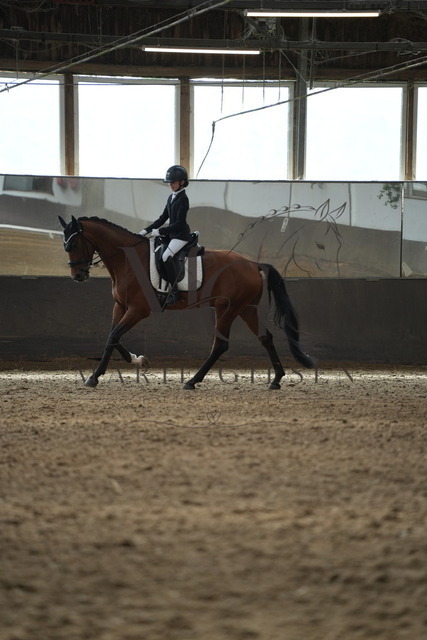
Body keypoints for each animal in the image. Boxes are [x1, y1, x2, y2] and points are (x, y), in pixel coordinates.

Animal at [59, 215, 314, 389]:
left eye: (74, 245)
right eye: (65, 246)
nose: (78, 276)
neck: (127, 259)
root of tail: (252, 263)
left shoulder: (139, 309)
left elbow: (114, 335)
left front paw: (94, 377)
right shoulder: (120, 306)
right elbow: (112, 337)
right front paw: (136, 360)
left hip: (228, 309)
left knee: (220, 345)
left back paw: (192, 381)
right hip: (246, 309)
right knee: (265, 337)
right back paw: (276, 380)